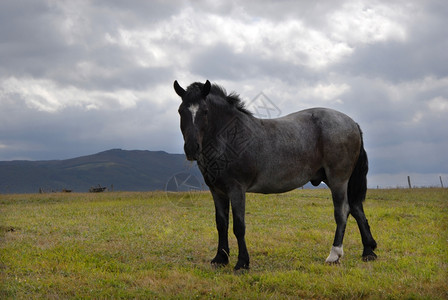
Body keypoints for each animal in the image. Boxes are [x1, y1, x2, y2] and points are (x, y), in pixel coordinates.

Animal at [173, 80, 376, 272]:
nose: (192, 148)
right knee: (356, 209)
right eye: (181, 111)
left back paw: (334, 254)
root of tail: (351, 122)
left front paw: (242, 263)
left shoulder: (237, 189)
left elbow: (239, 226)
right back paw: (369, 251)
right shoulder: (217, 191)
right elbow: (221, 224)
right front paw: (220, 258)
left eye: (205, 111)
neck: (230, 138)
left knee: (342, 212)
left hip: (338, 180)